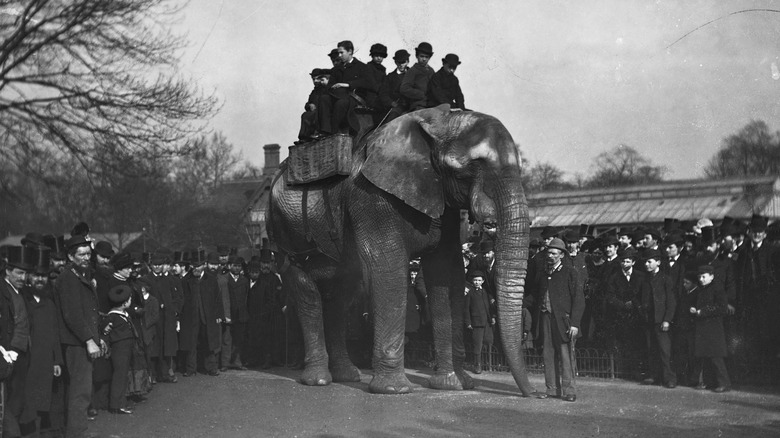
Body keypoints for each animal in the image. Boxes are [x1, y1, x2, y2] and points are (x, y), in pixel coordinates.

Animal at [268, 104, 536, 396]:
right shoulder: (371, 197)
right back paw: (318, 379)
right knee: (307, 292)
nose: (536, 394)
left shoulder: (443, 202)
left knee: (342, 293)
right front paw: (393, 389)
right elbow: (388, 266)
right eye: (468, 170)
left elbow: (446, 271)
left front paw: (453, 384)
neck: (438, 121)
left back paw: (347, 376)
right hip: (283, 230)